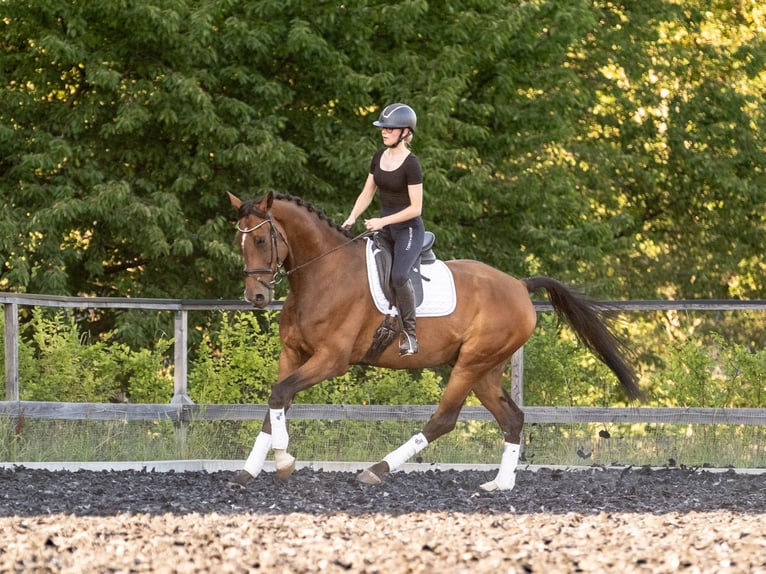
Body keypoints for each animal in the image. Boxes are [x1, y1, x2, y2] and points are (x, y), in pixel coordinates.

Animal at [227, 191, 642, 491]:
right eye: (240, 242)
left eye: (261, 239)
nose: (256, 297)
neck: (323, 274)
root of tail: (519, 286)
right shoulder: (293, 354)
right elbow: (275, 403)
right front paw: (249, 470)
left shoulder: (331, 359)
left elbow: (280, 395)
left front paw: (284, 462)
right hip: (486, 369)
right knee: (512, 418)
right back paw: (499, 484)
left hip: (471, 364)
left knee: (444, 419)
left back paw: (376, 470)